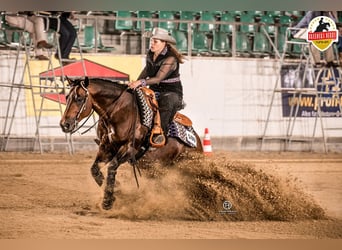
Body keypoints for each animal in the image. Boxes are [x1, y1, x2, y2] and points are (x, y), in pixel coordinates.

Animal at [59, 77, 203, 210]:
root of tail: (197, 142)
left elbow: (112, 167)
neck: (121, 111)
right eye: (67, 97)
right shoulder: (106, 147)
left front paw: (108, 200)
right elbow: (95, 170)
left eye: (79, 98)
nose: (64, 124)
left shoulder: (129, 148)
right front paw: (116, 191)